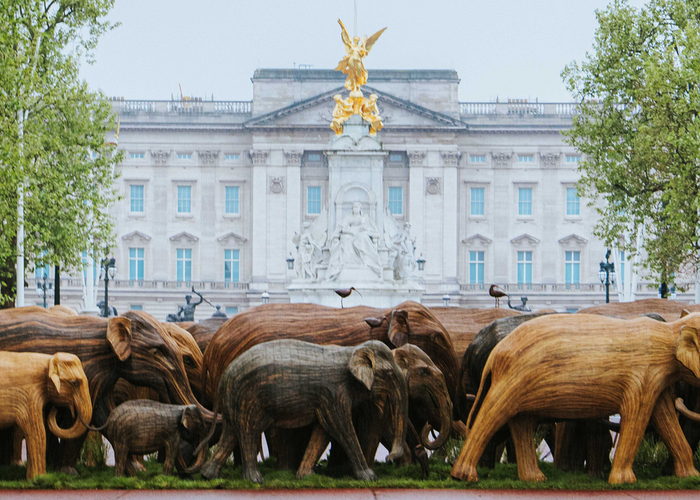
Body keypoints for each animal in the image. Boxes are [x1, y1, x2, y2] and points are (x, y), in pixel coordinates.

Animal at [0, 307, 210, 473]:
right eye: (156, 351)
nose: (188, 473)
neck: (106, 325)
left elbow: (104, 416)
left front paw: (131, 473)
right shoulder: (86, 372)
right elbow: (82, 422)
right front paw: (68, 472)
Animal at [191, 339, 409, 483]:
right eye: (390, 374)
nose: (389, 459)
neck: (351, 351)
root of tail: (225, 375)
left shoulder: (327, 397)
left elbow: (324, 431)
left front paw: (305, 476)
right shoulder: (334, 391)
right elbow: (340, 428)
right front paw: (370, 477)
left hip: (235, 401)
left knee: (231, 433)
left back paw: (208, 476)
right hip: (248, 398)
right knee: (247, 433)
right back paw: (255, 480)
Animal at [451, 312, 700, 484]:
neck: (671, 330)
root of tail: (495, 355)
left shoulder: (658, 380)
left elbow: (666, 419)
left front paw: (691, 476)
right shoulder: (641, 377)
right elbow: (637, 417)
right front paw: (624, 482)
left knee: (521, 422)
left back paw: (535, 479)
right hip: (511, 380)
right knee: (491, 414)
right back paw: (463, 477)